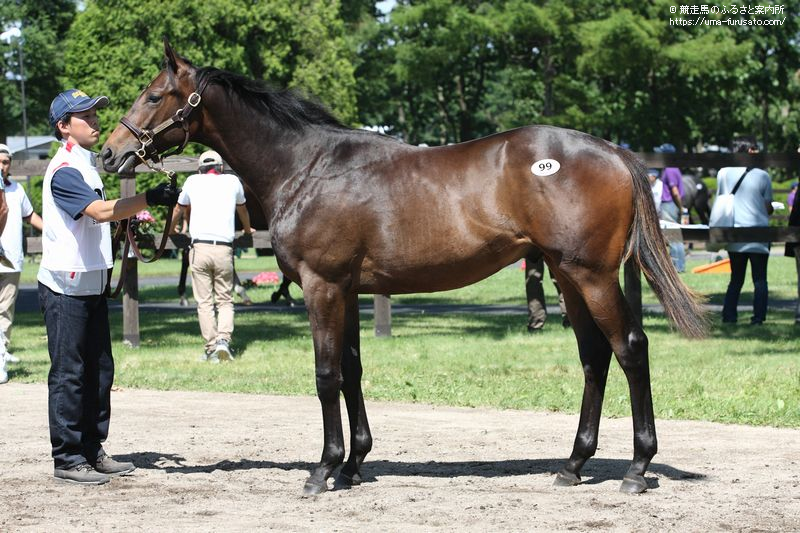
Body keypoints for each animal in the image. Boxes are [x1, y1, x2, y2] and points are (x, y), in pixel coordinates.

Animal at [101, 39, 708, 492]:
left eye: (154, 95)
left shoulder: (323, 287)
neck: (307, 166)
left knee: (629, 349)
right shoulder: (347, 290)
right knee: (594, 358)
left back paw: (637, 469)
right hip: (566, 276)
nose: (110, 153)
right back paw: (573, 465)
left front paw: (323, 469)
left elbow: (325, 374)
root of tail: (614, 152)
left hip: (591, 276)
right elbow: (350, 370)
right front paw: (352, 465)